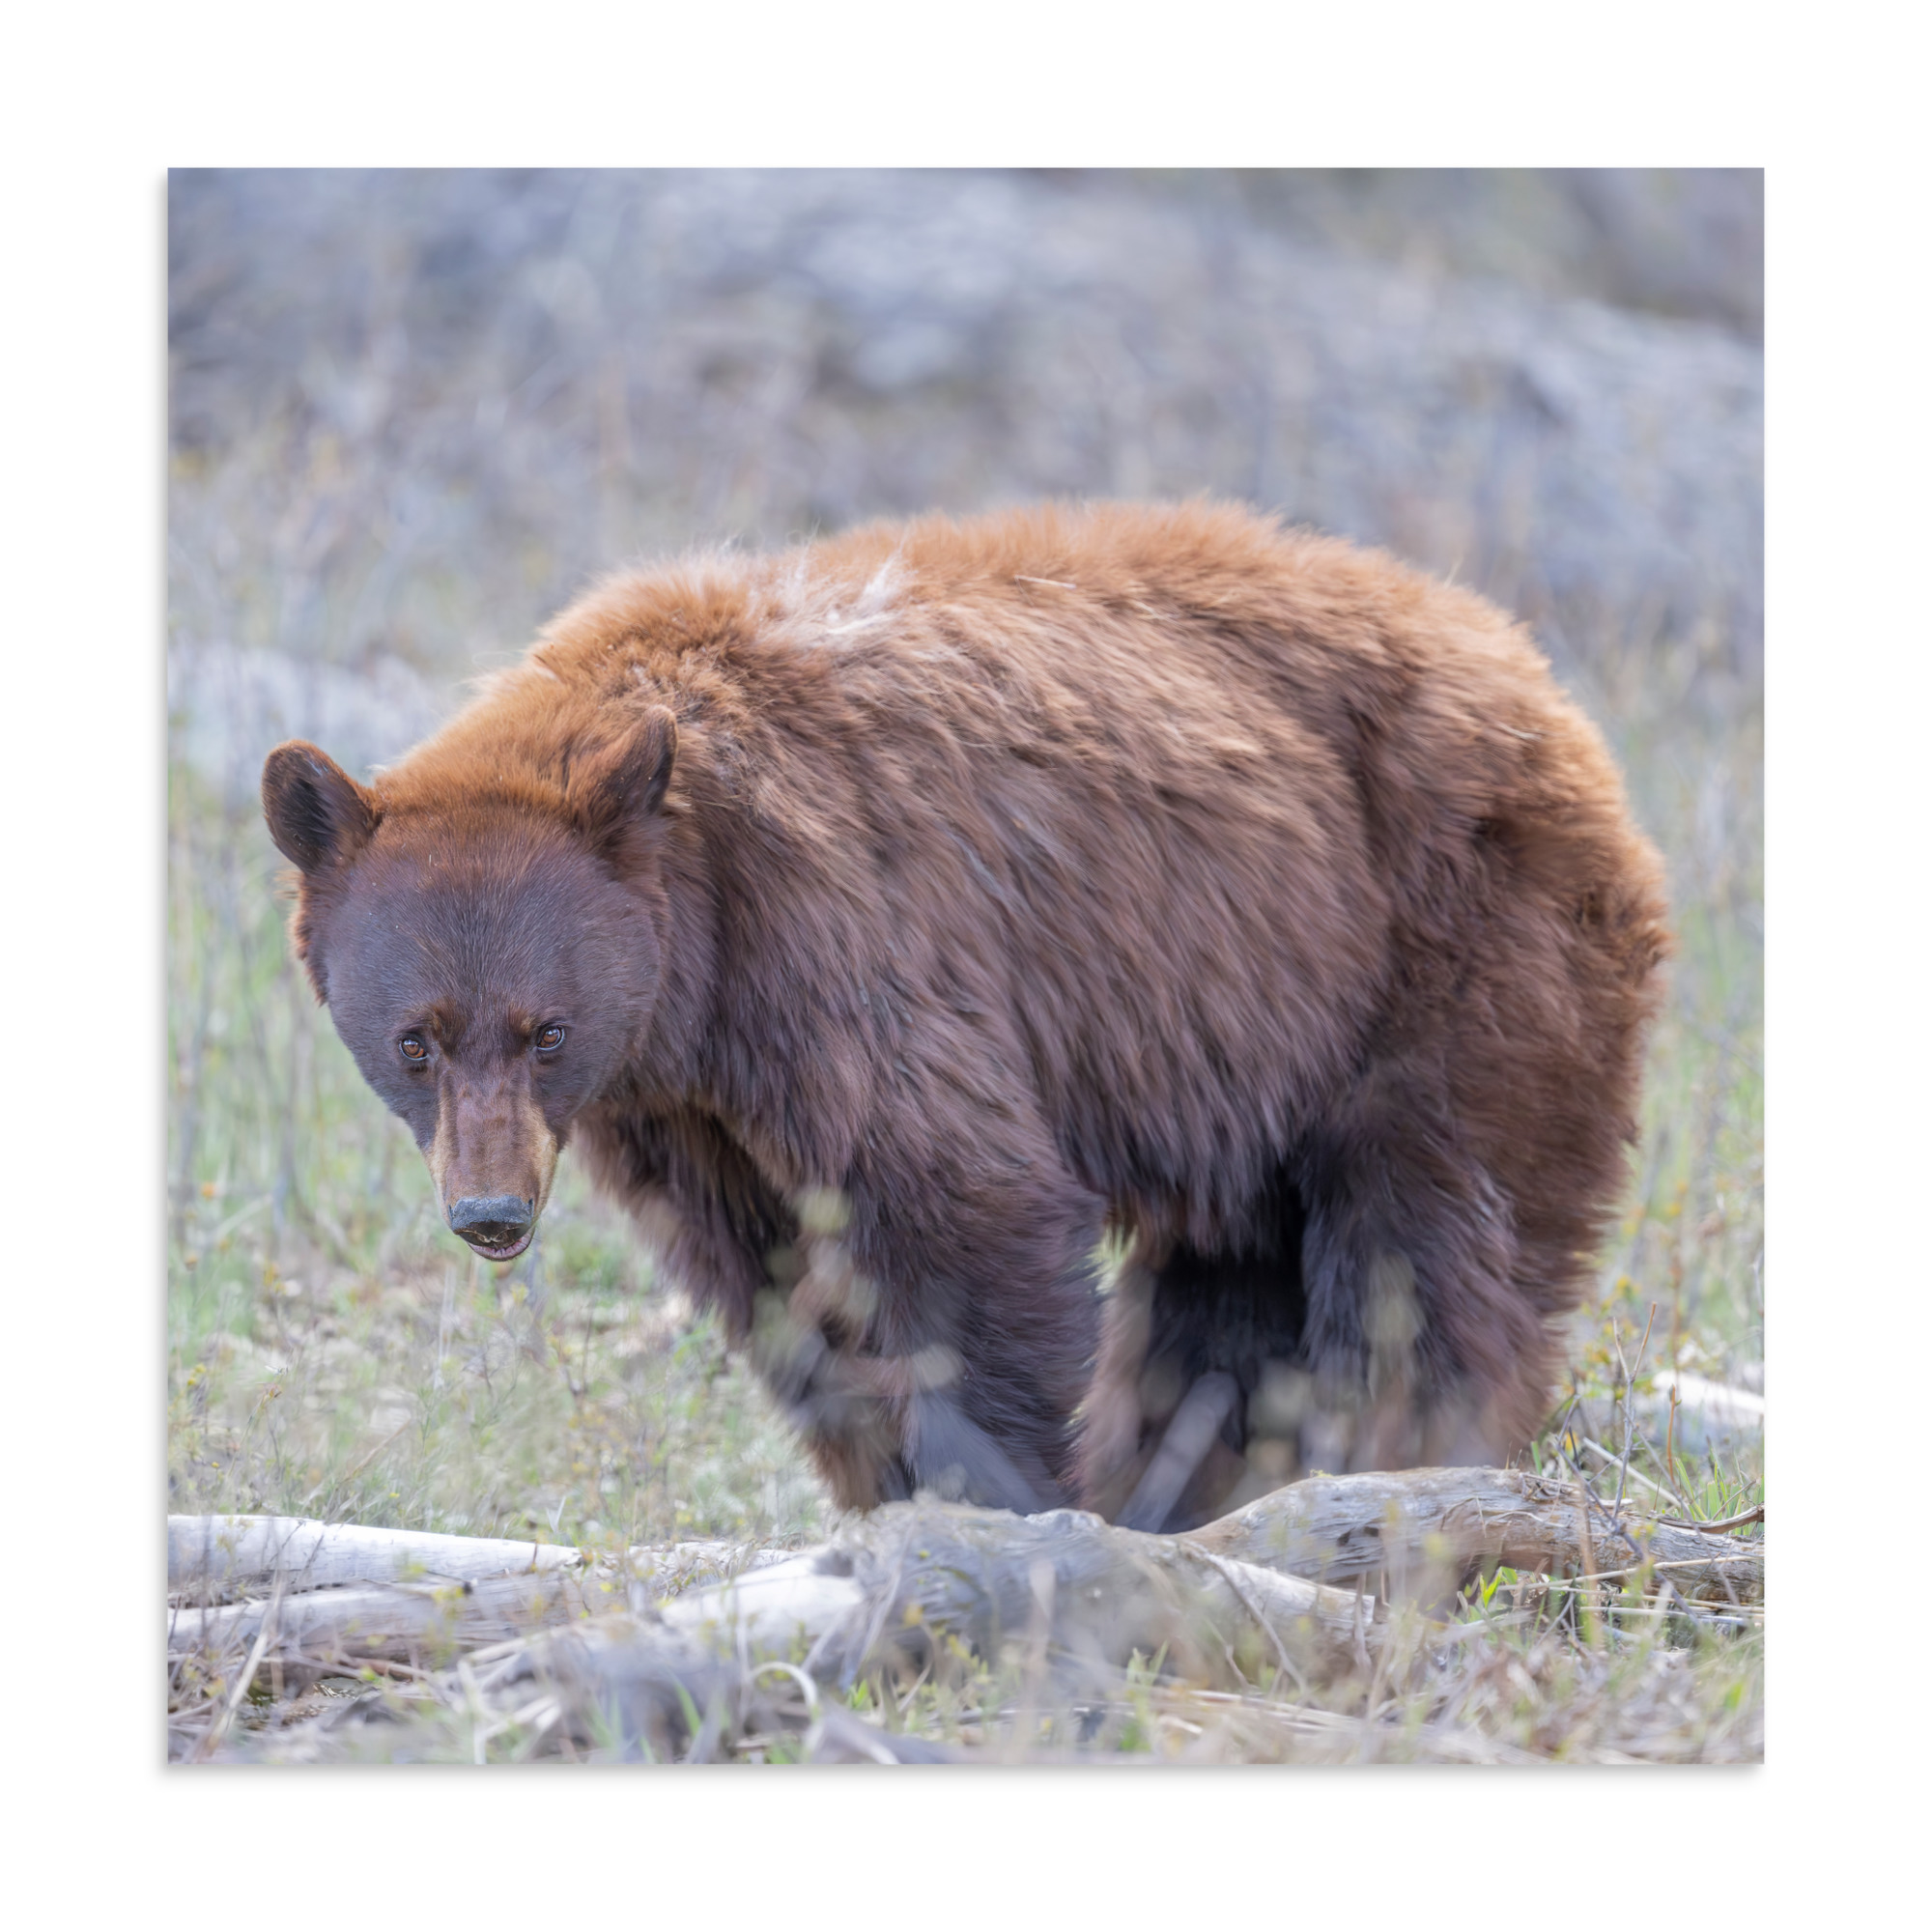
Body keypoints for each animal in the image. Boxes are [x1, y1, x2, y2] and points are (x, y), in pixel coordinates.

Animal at [262, 500, 1669, 1531]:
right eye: (416, 1040)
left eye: (544, 1030)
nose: (491, 1214)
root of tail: (1536, 675)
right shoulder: (685, 1107)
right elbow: (778, 1279)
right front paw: (886, 1487)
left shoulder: (845, 940)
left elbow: (959, 1209)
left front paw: (999, 1496)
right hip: (1259, 1040)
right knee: (1229, 1283)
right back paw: (1199, 1481)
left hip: (1447, 944)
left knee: (1428, 1238)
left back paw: (1394, 1456)